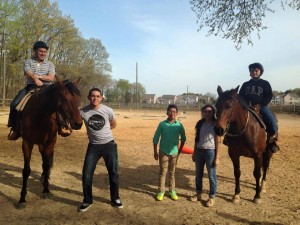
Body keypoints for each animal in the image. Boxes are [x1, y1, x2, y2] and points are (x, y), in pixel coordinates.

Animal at [18, 77, 82, 206]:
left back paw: (45, 177)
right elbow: (26, 170)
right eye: (65, 98)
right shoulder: (27, 143)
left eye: (78, 98)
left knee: (46, 162)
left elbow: (47, 165)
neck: (39, 115)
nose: (78, 123)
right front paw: (22, 197)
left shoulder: (49, 143)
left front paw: (46, 190)